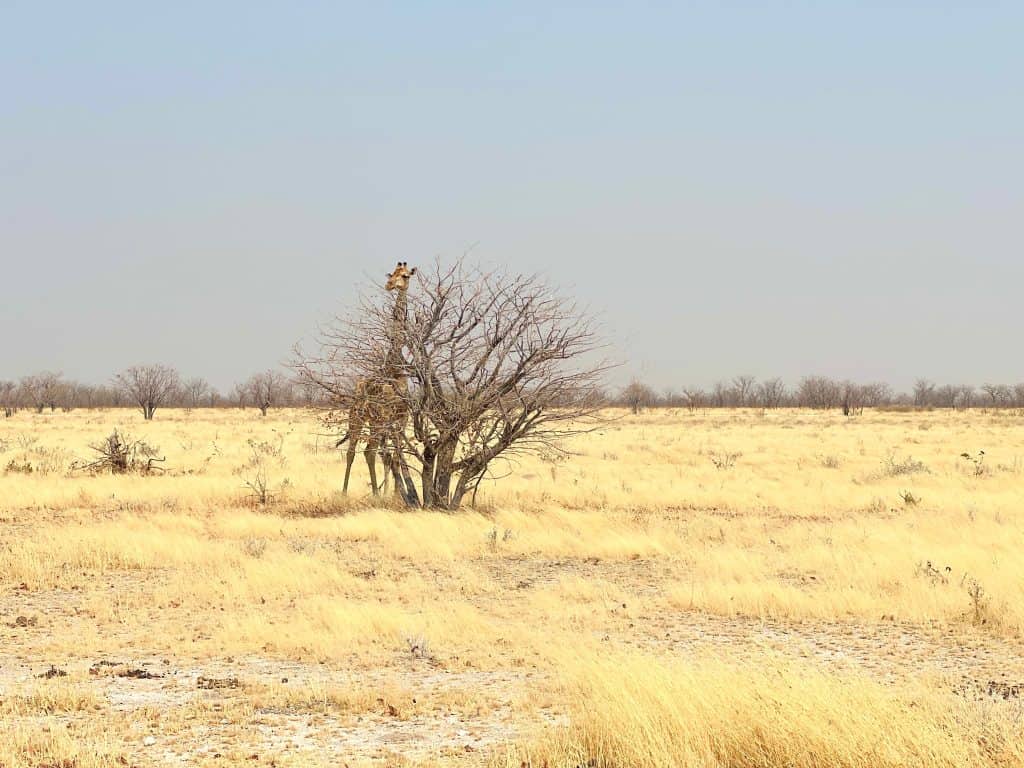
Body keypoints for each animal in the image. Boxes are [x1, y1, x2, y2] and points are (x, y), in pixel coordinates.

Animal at [339, 262, 417, 495]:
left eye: (405, 275)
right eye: (391, 274)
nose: (389, 285)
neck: (394, 366)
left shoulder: (401, 420)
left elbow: (397, 456)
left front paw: (399, 493)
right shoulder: (391, 419)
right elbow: (392, 455)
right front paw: (397, 494)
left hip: (369, 421)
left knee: (364, 452)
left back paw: (365, 492)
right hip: (364, 419)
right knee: (361, 451)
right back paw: (361, 493)